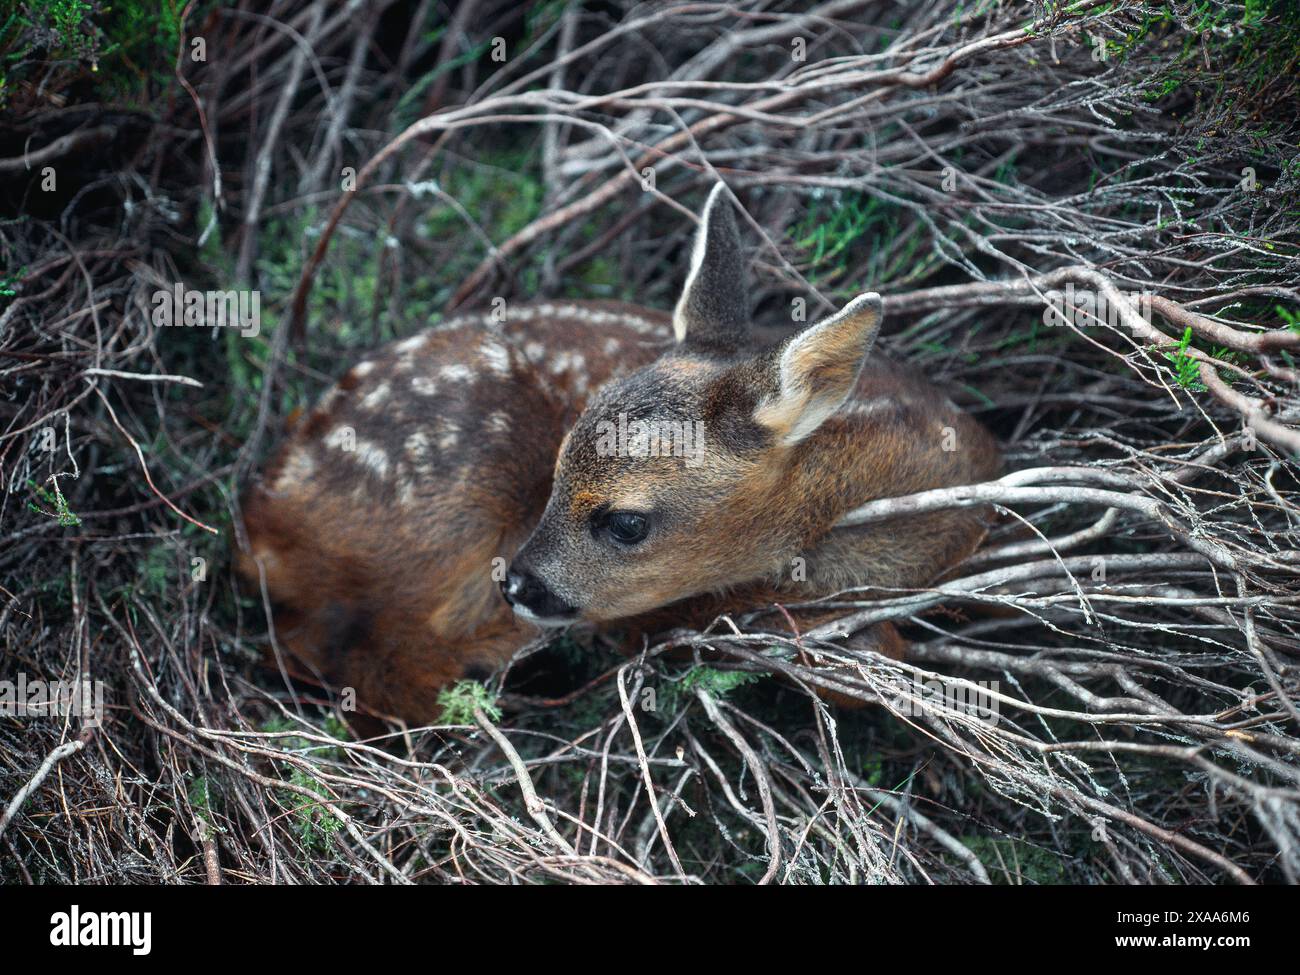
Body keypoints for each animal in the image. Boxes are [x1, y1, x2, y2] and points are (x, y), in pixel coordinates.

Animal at [238, 184, 1002, 722]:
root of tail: (263, 514)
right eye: (555, 476)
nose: (519, 585)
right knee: (364, 659)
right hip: (462, 480)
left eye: (626, 522)